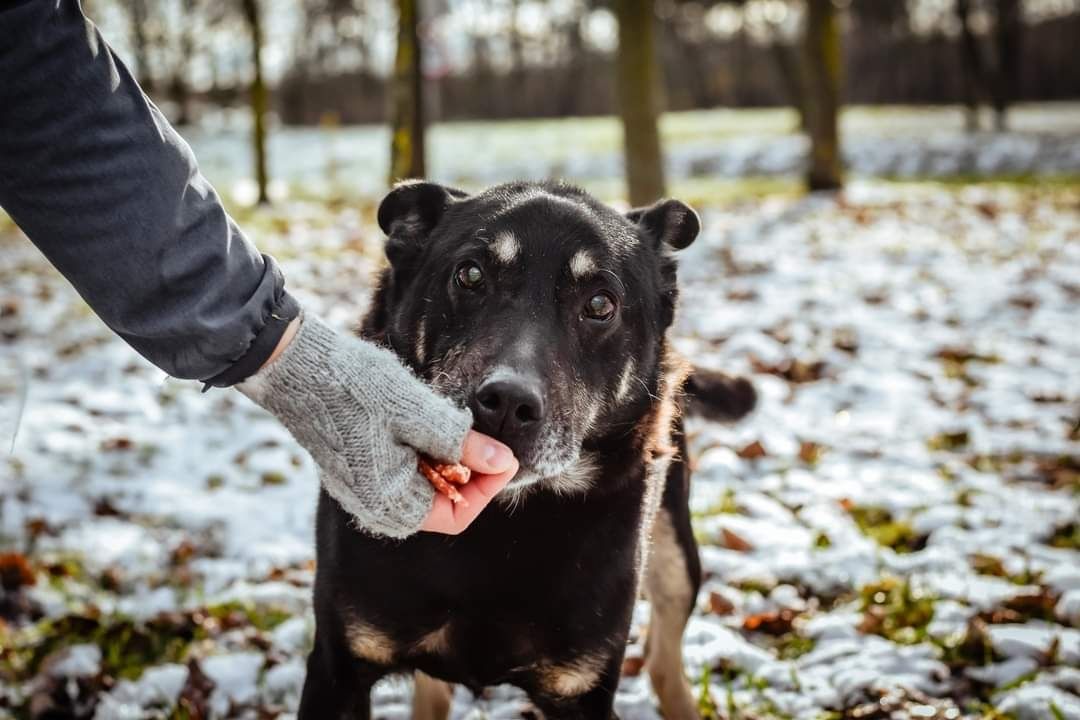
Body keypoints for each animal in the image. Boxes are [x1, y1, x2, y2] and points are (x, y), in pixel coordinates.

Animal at [295, 181, 751, 720]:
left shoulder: (582, 688)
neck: (501, 526)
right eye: (470, 274)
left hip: (677, 556)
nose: (508, 404)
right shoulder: (339, 666)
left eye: (601, 304)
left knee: (663, 660)